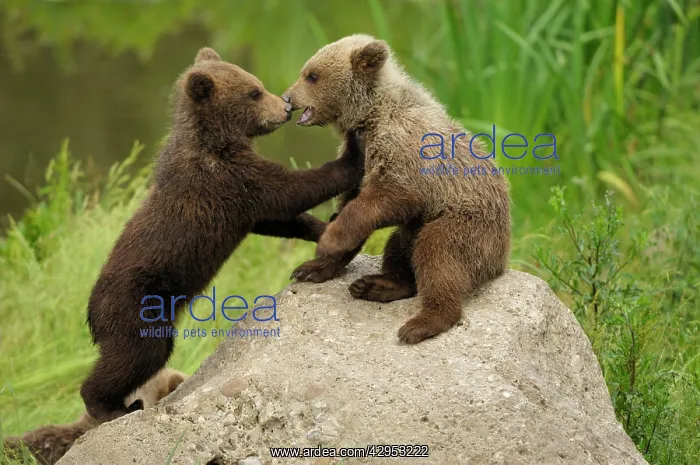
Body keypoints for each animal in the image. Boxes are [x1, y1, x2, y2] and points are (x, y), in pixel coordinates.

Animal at [80, 47, 365, 422]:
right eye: (254, 92)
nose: (285, 107)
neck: (216, 141)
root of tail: (92, 313)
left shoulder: (237, 203)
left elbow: (276, 218)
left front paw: (324, 230)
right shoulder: (226, 180)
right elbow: (289, 190)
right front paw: (353, 154)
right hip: (136, 306)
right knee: (139, 353)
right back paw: (110, 406)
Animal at [283, 34, 511, 344]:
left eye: (312, 75)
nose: (287, 97)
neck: (369, 115)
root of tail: (502, 260)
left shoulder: (405, 149)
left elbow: (387, 198)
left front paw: (329, 240)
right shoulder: (359, 156)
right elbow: (354, 197)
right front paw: (313, 268)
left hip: (470, 225)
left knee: (439, 254)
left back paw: (423, 322)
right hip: (420, 228)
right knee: (398, 246)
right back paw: (378, 285)